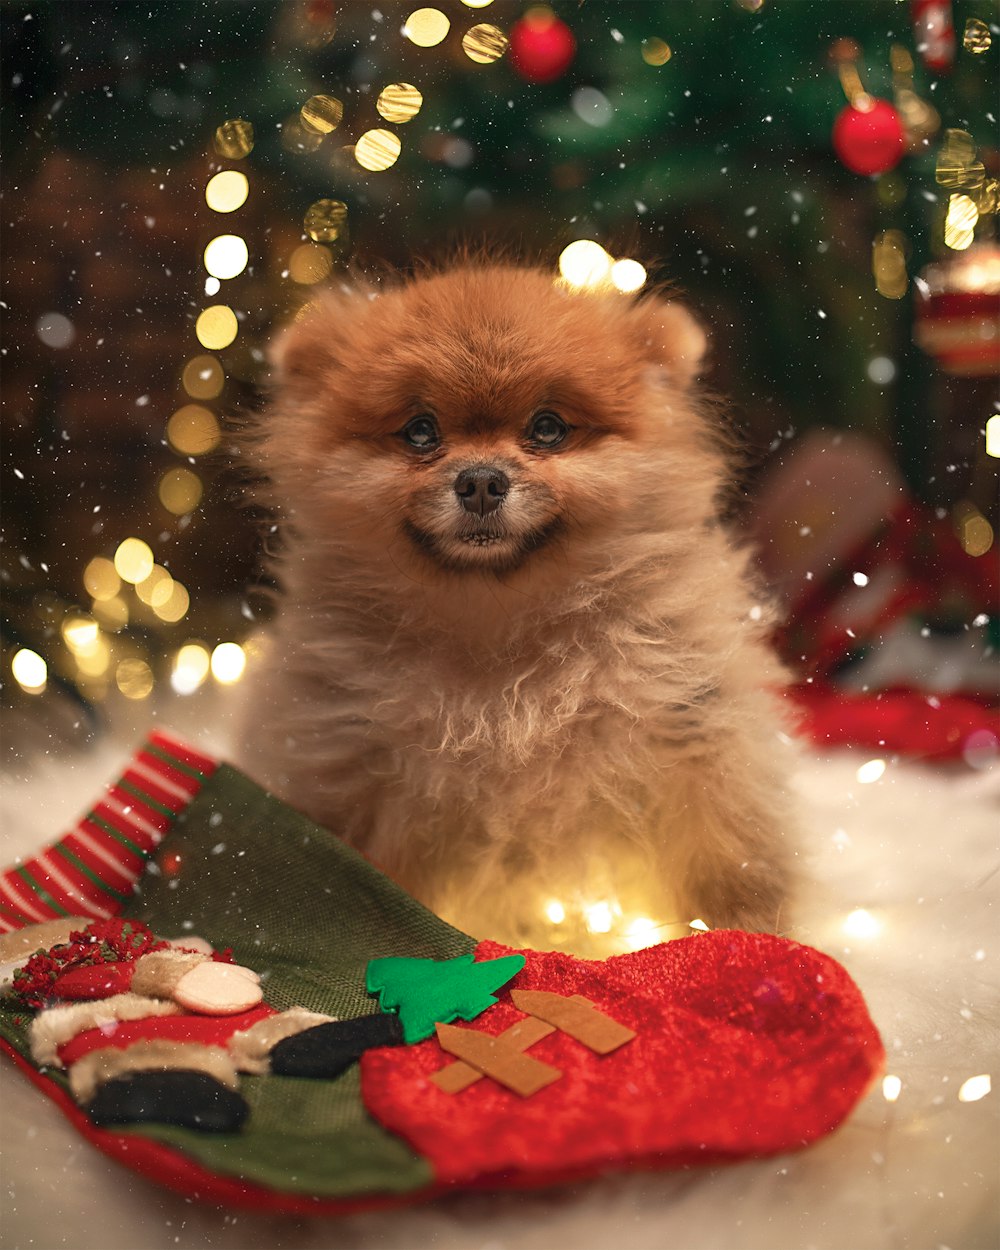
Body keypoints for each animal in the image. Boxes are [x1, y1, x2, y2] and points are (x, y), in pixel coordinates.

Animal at [235, 263, 795, 945]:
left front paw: (757, 941)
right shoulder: (344, 763)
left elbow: (730, 859)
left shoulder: (692, 729)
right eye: (420, 431)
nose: (480, 480)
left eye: (547, 428)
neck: (497, 636)